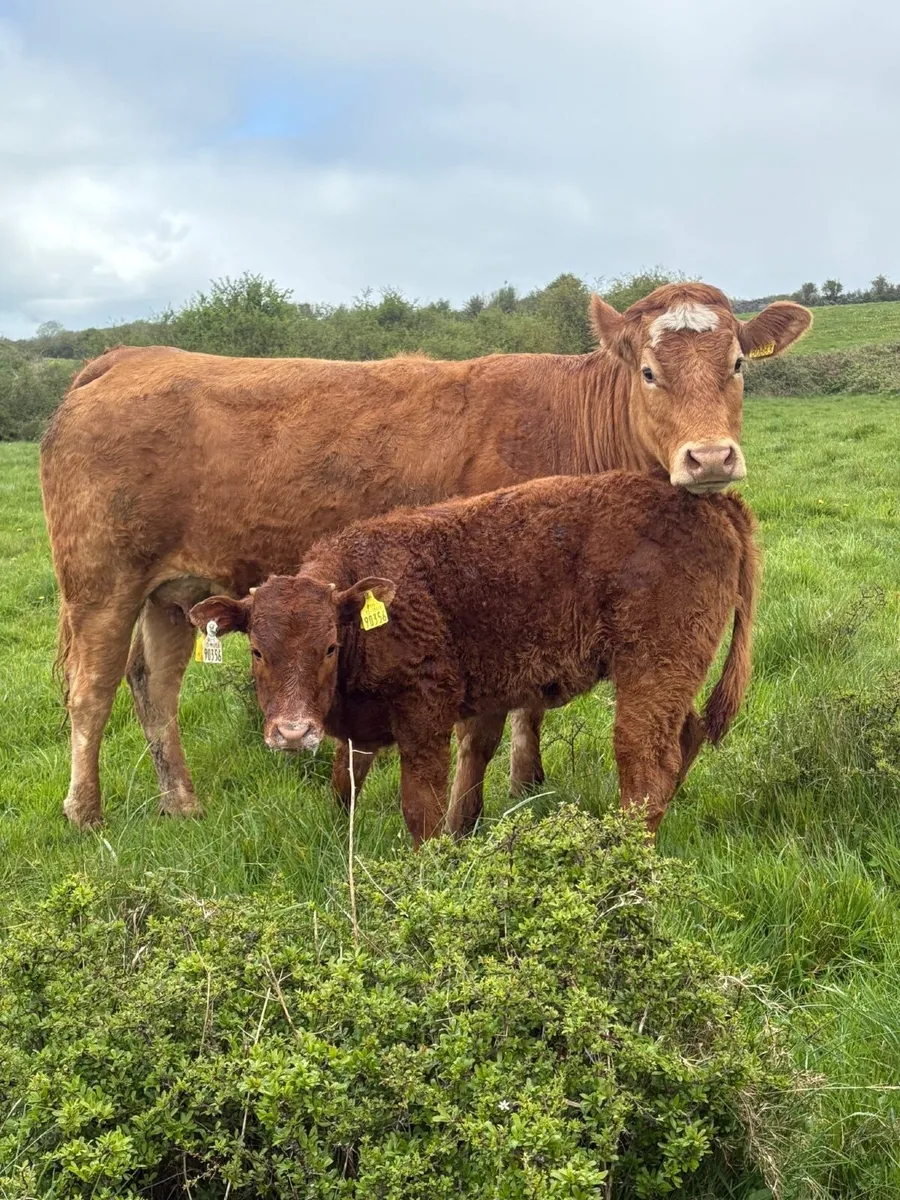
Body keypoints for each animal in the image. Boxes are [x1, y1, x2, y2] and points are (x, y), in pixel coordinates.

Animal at [189, 471, 759, 845]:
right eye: (257, 650)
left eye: (328, 646)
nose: (292, 733)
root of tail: (713, 504)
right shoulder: (361, 728)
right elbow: (343, 784)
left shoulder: (424, 717)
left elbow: (420, 807)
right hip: (672, 678)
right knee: (685, 737)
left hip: (651, 672)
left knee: (644, 761)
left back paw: (623, 850)